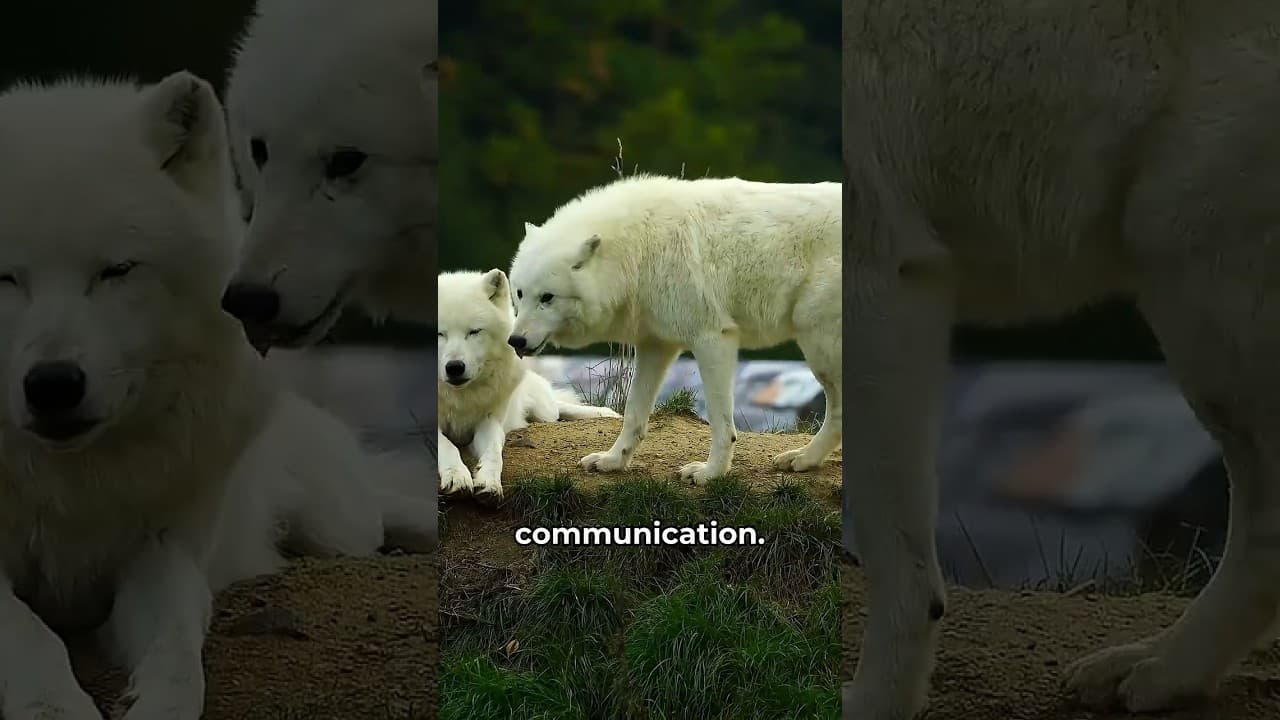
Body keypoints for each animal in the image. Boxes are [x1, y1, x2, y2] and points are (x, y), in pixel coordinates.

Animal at [0, 72, 430, 720]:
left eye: (116, 270)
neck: (71, 483)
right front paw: (53, 705)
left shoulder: (163, 554)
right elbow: (29, 635)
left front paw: (160, 704)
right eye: (4, 278)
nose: (53, 384)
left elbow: (179, 643)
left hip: (339, 527)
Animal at [438, 269, 619, 499]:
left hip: (542, 411)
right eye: (439, 333)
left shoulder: (490, 422)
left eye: (474, 331)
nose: (454, 367)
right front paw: (457, 476)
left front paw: (490, 482)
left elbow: (494, 452)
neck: (459, 397)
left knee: (558, 410)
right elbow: (447, 446)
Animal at [507, 174, 841, 483]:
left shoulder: (712, 340)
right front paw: (613, 461)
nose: (515, 340)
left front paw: (711, 474)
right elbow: (634, 414)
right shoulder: (655, 345)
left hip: (817, 347)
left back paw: (804, 458)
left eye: (547, 298)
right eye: (520, 293)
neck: (636, 250)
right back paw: (804, 459)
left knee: (836, 412)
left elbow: (721, 422)